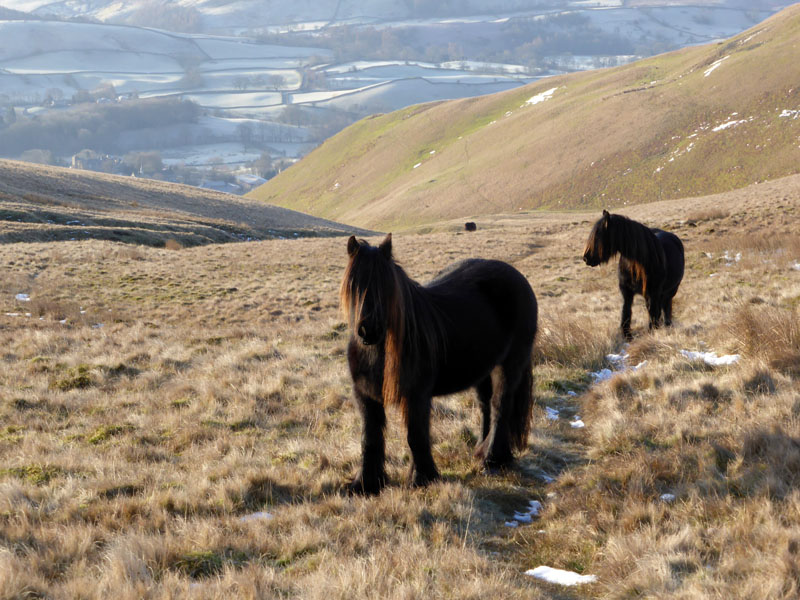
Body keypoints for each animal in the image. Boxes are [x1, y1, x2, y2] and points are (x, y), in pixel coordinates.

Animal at [340, 236, 536, 496]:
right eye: (354, 284)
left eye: (386, 285)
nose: (368, 330)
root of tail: (519, 279)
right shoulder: (365, 396)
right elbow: (370, 438)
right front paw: (365, 484)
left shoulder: (417, 396)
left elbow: (416, 436)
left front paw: (422, 478)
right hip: (483, 369)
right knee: (485, 405)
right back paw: (479, 449)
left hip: (509, 365)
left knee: (500, 406)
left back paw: (492, 459)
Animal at [584, 210, 684, 340]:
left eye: (597, 236)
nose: (586, 258)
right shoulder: (626, 291)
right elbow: (626, 311)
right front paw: (627, 335)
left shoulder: (653, 293)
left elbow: (653, 312)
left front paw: (652, 332)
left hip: (670, 291)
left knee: (666, 307)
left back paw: (667, 325)